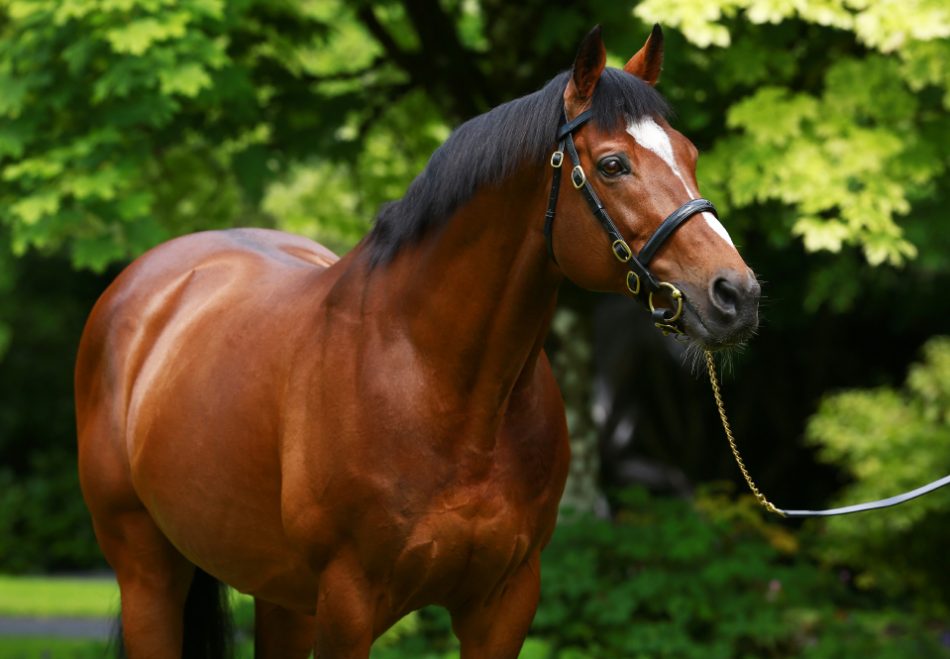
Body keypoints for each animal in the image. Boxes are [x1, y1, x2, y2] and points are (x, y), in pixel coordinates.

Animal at [75, 25, 759, 658]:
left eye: (690, 153)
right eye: (614, 164)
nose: (737, 294)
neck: (442, 384)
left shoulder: (504, 604)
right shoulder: (347, 606)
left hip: (278, 594)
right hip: (148, 573)